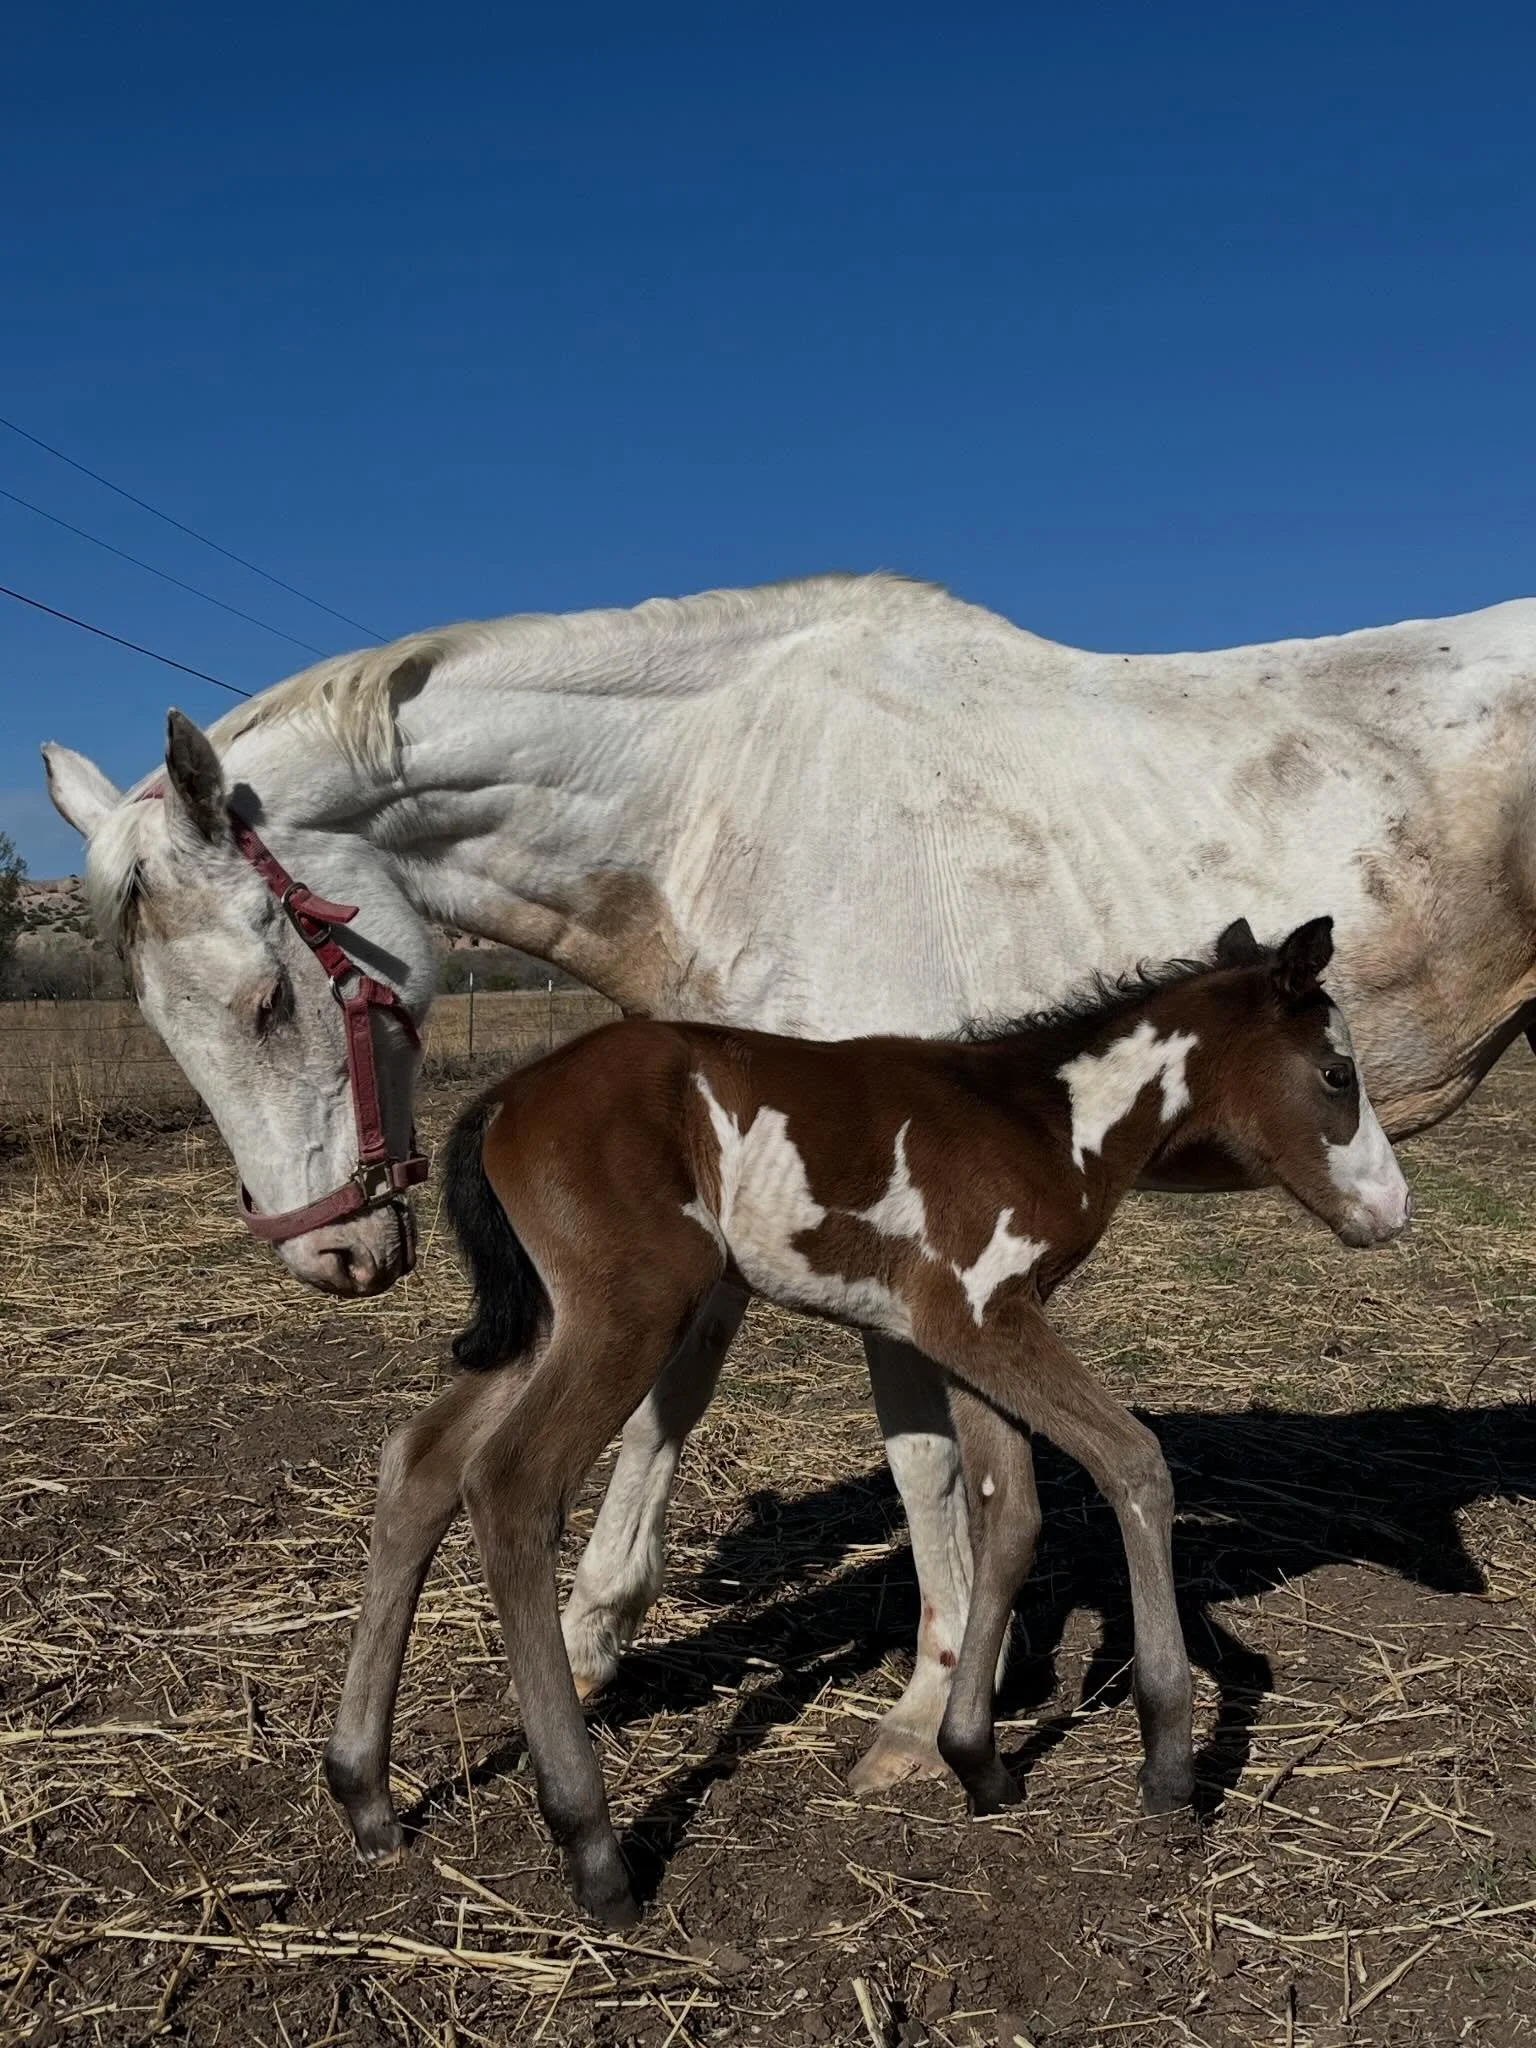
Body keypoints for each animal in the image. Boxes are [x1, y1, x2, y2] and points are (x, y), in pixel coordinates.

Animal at [41, 572, 1533, 1793]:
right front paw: (591, 1641)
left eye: (266, 1001)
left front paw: (931, 1713)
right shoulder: (736, 1195)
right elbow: (674, 1405)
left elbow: (926, 1468)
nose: (331, 1254)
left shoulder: (897, 1250)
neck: (727, 790)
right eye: (162, 1021)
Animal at [322, 915, 1410, 1925]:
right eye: (1337, 1071)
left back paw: (364, 1793)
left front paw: (976, 1756)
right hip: (628, 1311)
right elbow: (1135, 1463)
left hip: (546, 1322)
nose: (1392, 1213)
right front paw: (1171, 1758)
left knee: (419, 1464)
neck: (1047, 1117)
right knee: (510, 1486)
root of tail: (506, 1098)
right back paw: (592, 1848)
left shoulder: (967, 1332)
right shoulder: (983, 1316)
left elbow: (1009, 1509)